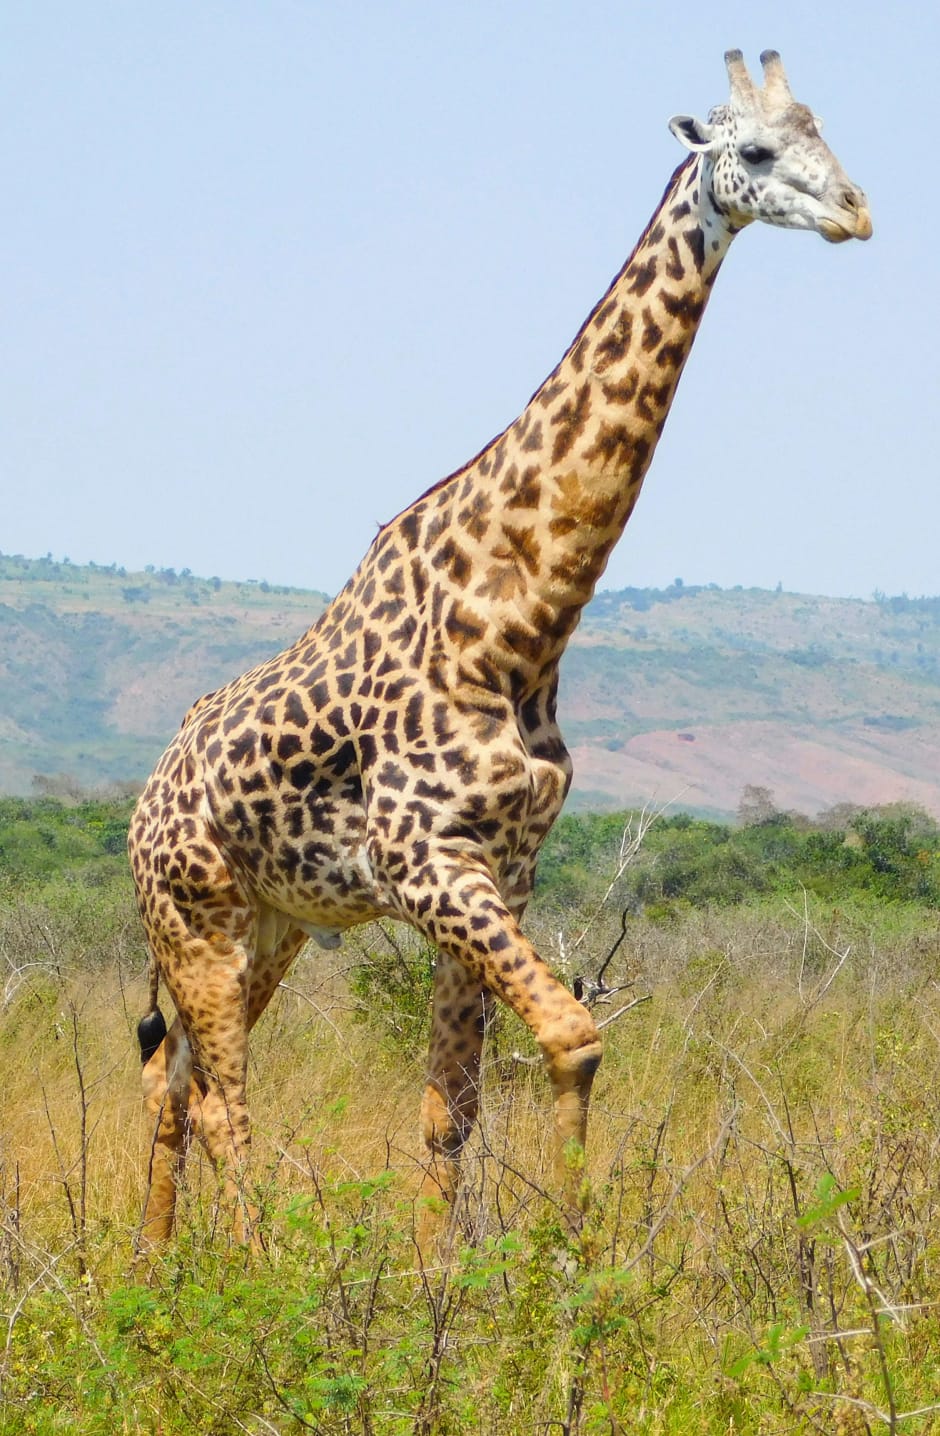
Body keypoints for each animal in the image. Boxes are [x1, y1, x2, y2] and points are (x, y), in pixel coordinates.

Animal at [128, 50, 871, 1248]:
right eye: (756, 150)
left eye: (824, 132)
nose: (856, 211)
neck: (520, 624)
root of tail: (141, 802)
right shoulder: (426, 858)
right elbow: (573, 1036)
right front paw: (566, 1265)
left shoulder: (502, 870)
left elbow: (451, 1107)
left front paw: (459, 1278)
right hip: (193, 915)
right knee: (225, 1100)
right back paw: (243, 1267)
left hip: (267, 923)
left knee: (178, 1083)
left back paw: (155, 1268)